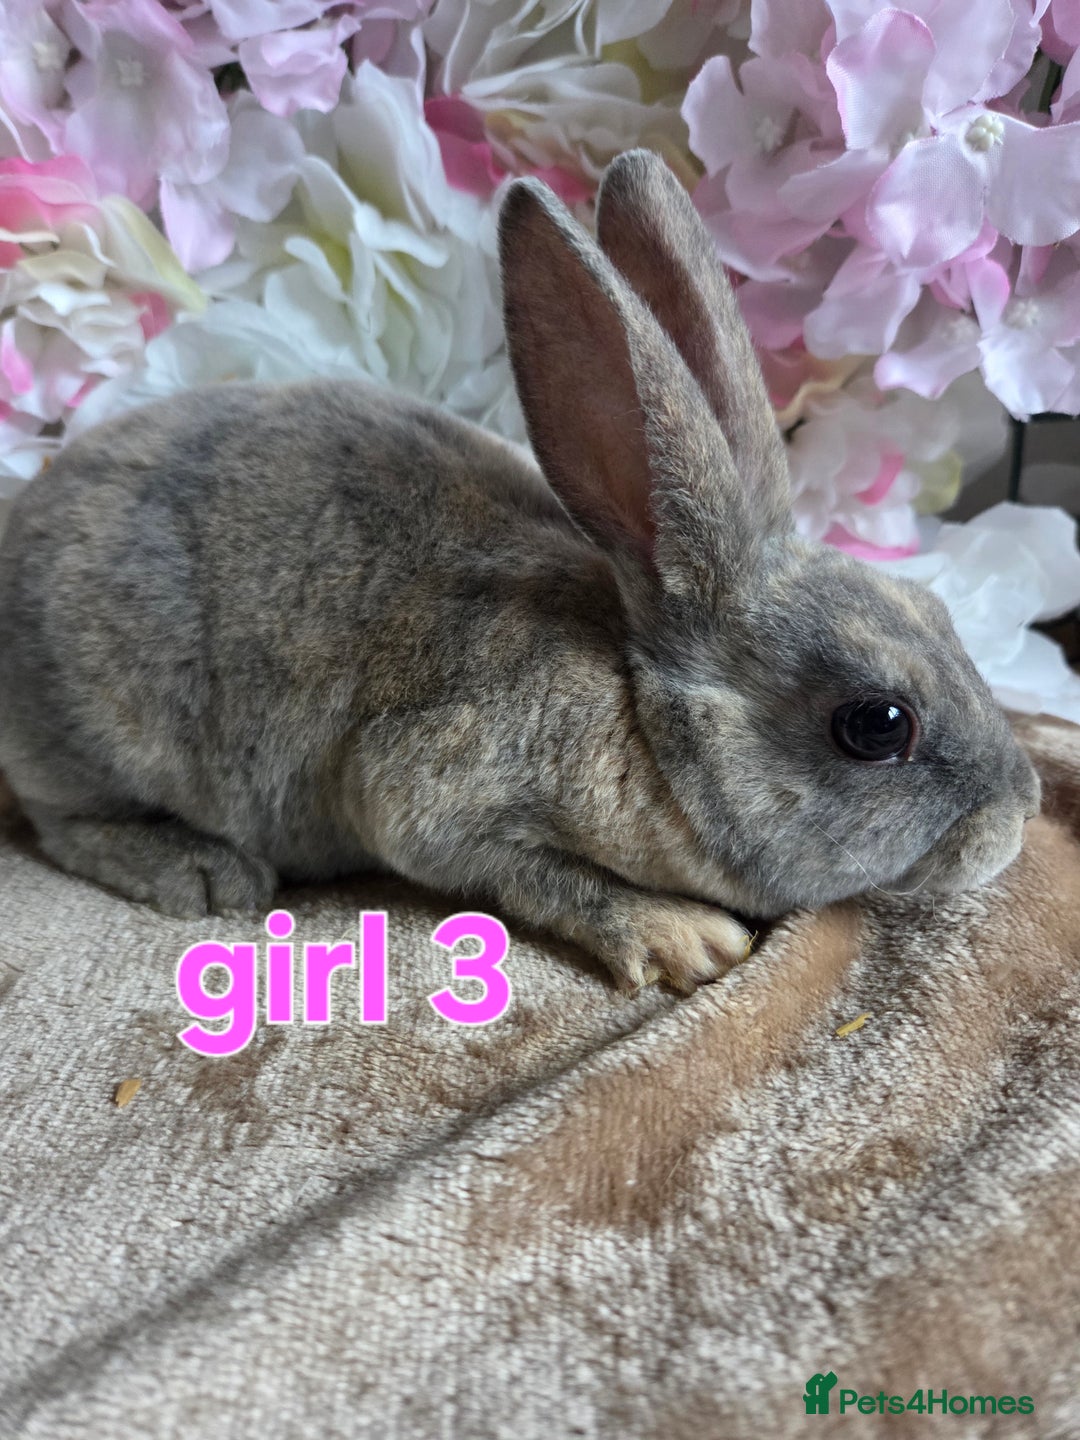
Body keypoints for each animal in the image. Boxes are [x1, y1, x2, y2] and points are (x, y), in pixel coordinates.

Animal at [0, 149, 1040, 994]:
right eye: (877, 725)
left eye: (937, 610)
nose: (1024, 810)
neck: (639, 709)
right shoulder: (427, 795)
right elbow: (535, 874)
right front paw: (687, 938)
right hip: (108, 729)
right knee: (60, 819)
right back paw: (202, 870)